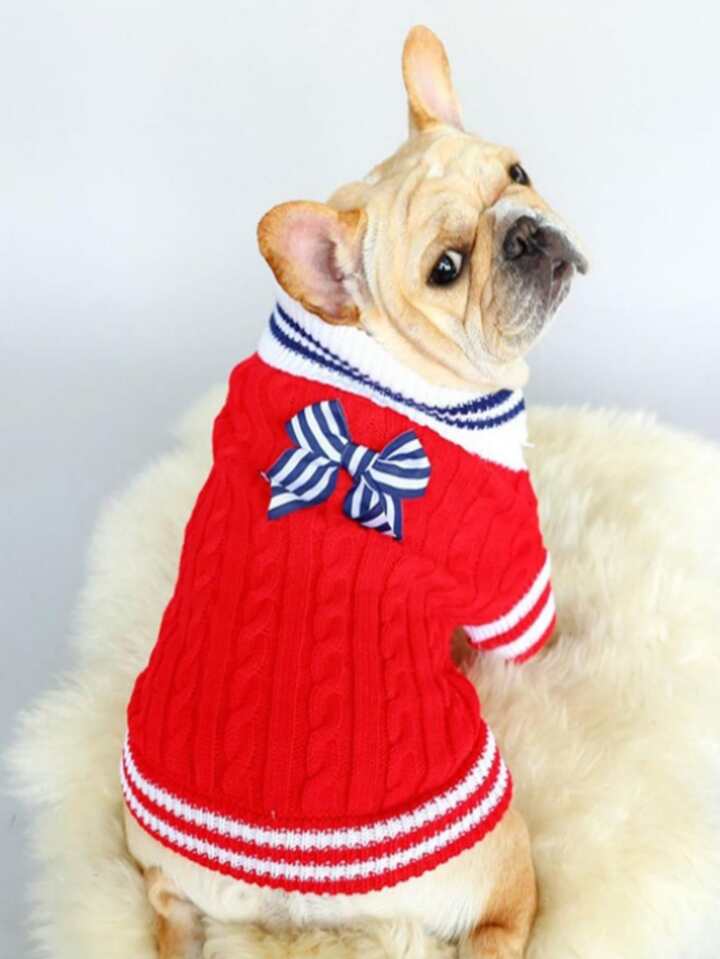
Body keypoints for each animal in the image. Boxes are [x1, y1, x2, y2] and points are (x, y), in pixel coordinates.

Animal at [122, 25, 586, 959]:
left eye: (517, 173)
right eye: (448, 267)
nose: (524, 233)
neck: (374, 357)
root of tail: (292, 905)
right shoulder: (509, 562)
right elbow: (536, 631)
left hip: (151, 860)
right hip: (497, 833)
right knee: (502, 920)